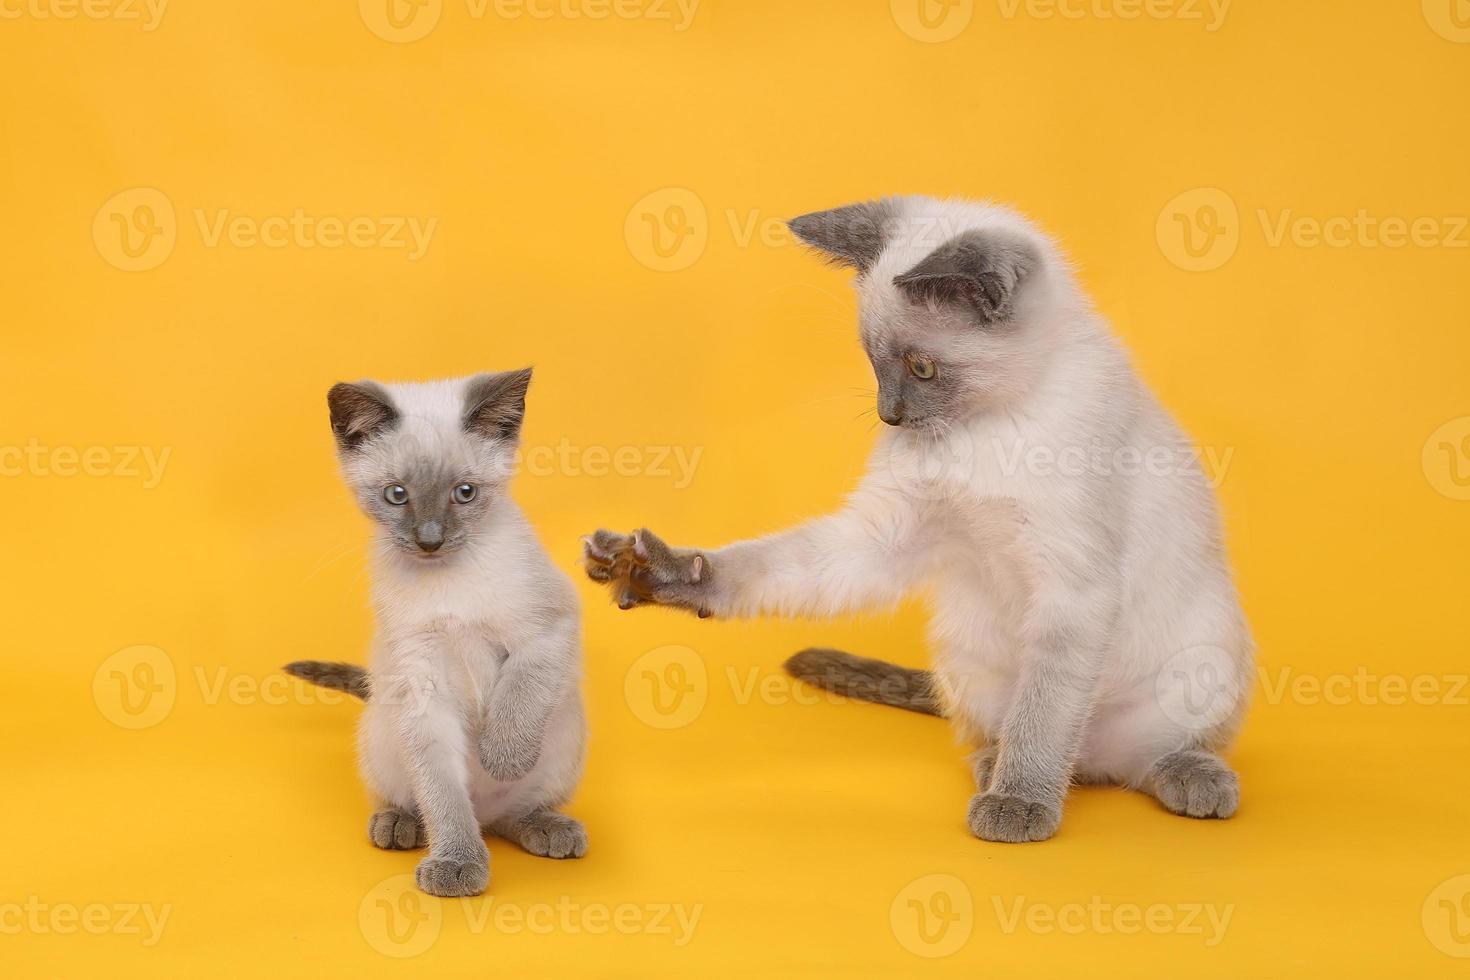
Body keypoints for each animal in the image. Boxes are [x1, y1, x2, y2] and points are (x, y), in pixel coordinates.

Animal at [283, 370, 588, 899]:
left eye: (464, 493)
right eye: (396, 495)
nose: (430, 540)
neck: (446, 580)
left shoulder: (548, 628)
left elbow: (518, 695)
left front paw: (501, 756)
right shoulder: (421, 682)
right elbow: (443, 793)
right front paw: (458, 863)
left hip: (567, 738)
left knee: (515, 813)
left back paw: (547, 827)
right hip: (384, 736)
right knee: (431, 804)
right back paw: (399, 825)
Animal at [585, 196, 1252, 846]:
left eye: (923, 368)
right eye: (873, 362)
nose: (889, 416)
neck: (987, 428)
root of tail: (1092, 762)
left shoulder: (1072, 589)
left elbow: (1042, 715)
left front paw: (1018, 805)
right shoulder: (885, 537)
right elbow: (763, 566)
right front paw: (664, 572)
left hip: (1203, 662)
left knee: (1137, 750)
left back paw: (1184, 781)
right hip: (966, 660)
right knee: (1022, 738)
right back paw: (996, 767)